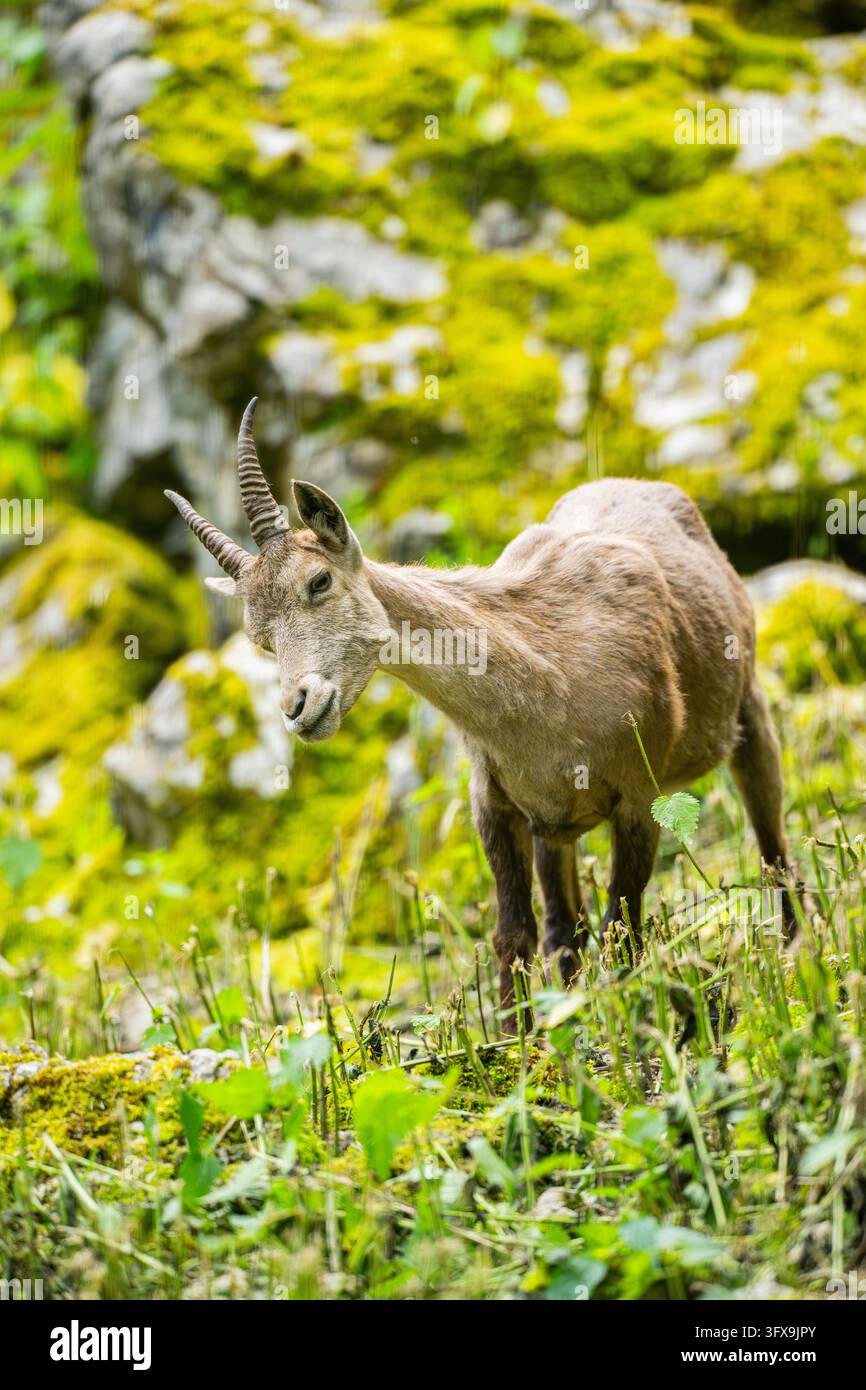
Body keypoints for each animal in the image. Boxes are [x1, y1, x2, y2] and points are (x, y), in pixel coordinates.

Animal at [167, 399, 796, 1032]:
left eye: (318, 580)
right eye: (259, 636)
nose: (299, 708)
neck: (550, 683)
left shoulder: (640, 797)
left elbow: (623, 927)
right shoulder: (494, 802)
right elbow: (514, 933)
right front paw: (520, 1043)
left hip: (748, 714)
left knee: (773, 847)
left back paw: (795, 953)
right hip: (555, 828)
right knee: (563, 927)